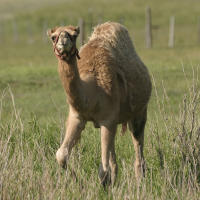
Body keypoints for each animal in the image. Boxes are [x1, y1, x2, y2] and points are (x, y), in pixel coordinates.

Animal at [47, 21, 152, 186]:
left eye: (74, 35)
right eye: (53, 37)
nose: (63, 42)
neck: (92, 90)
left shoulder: (107, 119)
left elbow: (103, 169)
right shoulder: (77, 116)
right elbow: (61, 155)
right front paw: (78, 182)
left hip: (140, 112)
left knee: (137, 143)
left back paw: (140, 181)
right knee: (113, 158)